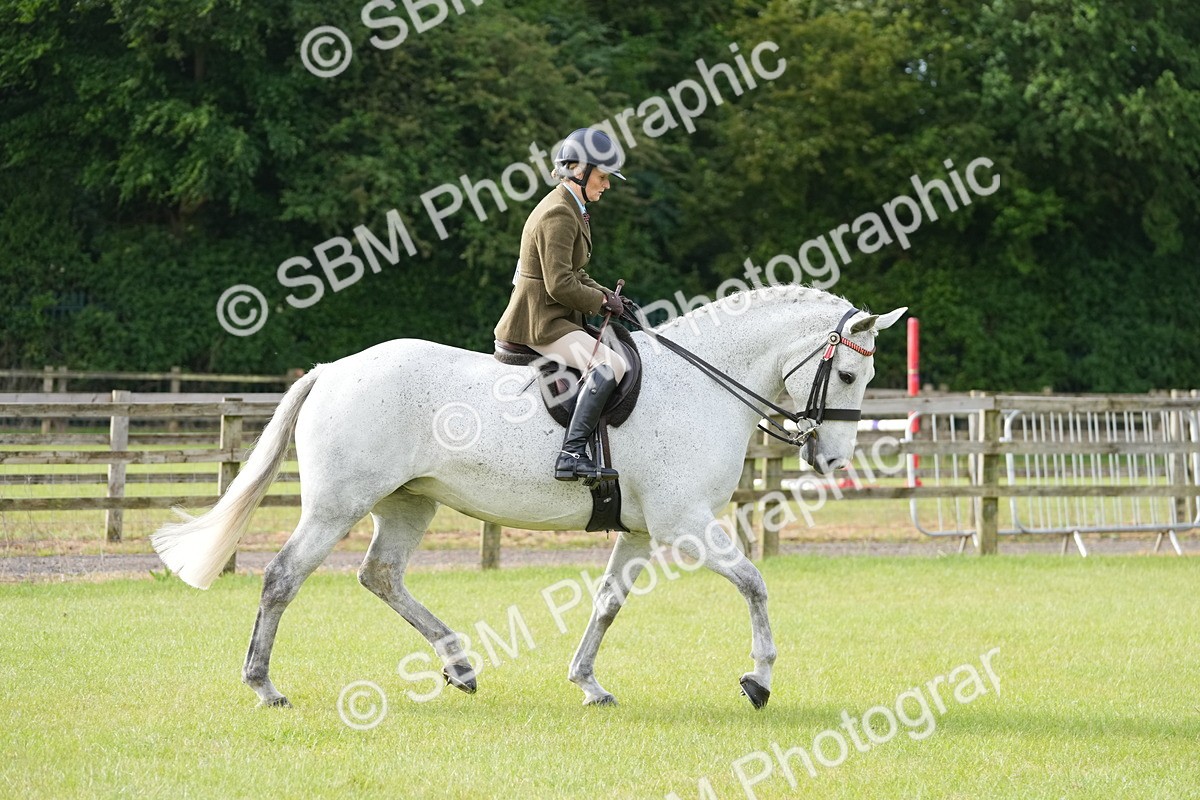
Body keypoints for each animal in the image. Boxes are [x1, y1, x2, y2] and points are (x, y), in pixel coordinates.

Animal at [152, 285, 905, 709]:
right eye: (846, 373)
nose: (832, 459)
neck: (704, 383)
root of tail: (332, 370)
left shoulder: (641, 530)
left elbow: (608, 602)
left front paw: (587, 683)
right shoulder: (685, 523)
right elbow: (753, 583)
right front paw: (760, 680)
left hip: (409, 502)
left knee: (381, 575)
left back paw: (459, 666)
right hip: (339, 504)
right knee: (284, 576)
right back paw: (263, 686)